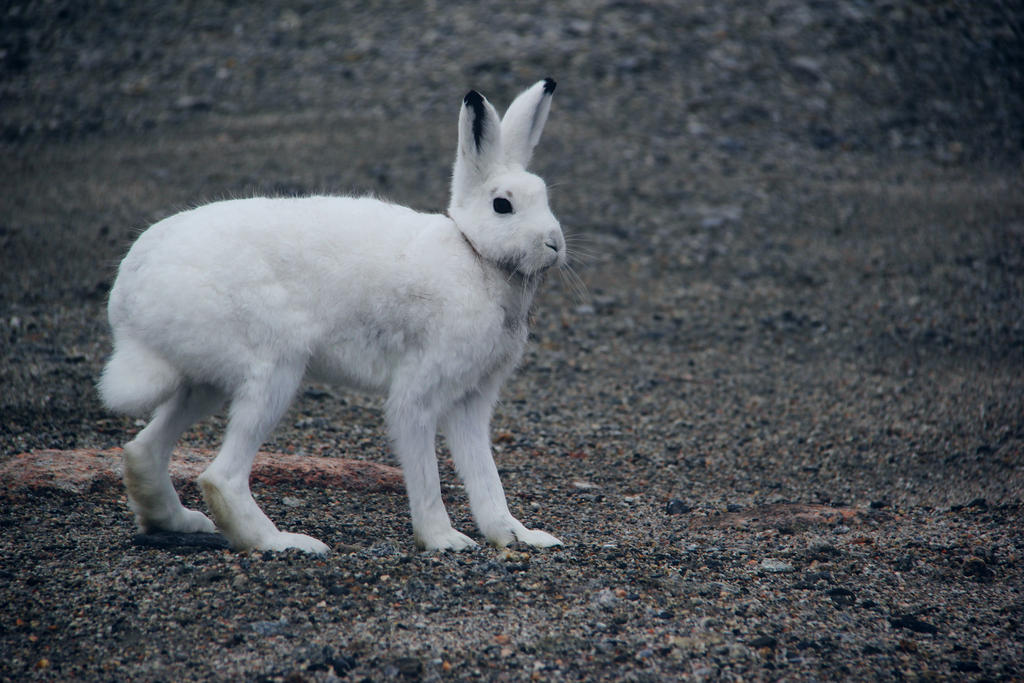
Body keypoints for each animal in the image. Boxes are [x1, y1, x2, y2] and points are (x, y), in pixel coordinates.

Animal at [98, 79, 566, 555]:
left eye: (545, 198)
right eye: (503, 205)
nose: (554, 244)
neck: (477, 256)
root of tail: (128, 304)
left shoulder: (472, 398)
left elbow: (485, 474)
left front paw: (518, 535)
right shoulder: (420, 388)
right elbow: (425, 468)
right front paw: (443, 539)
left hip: (203, 383)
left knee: (143, 450)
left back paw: (177, 521)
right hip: (274, 369)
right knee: (220, 477)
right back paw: (284, 542)